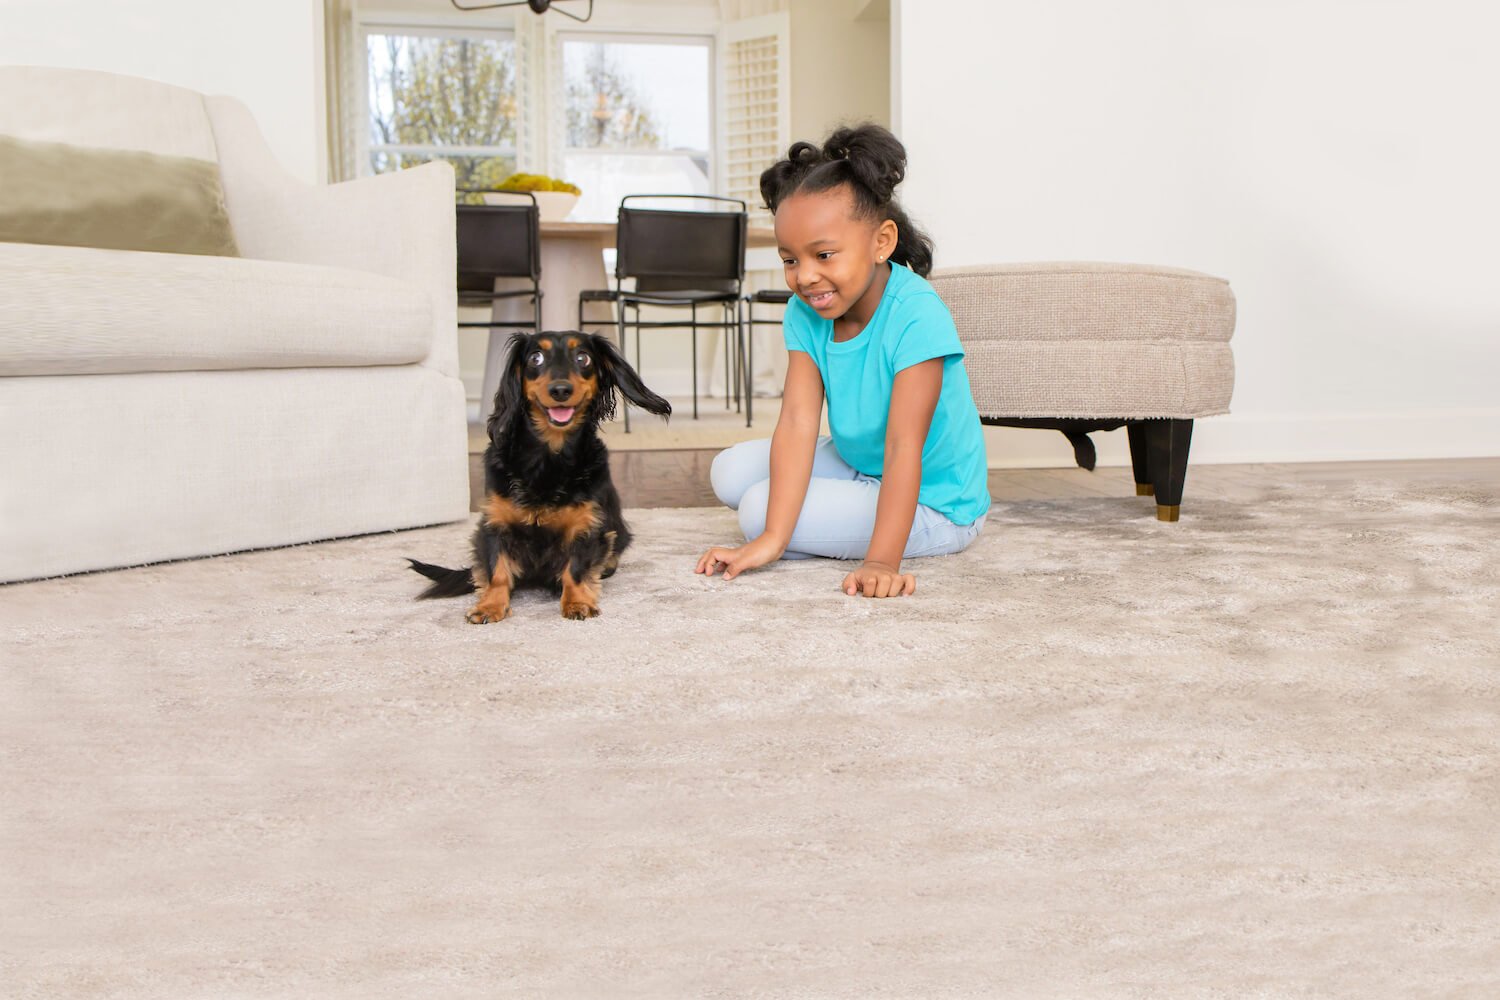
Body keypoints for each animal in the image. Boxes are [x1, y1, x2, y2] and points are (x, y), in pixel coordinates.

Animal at [409, 331, 671, 622]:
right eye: (536, 357)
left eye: (583, 358)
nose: (560, 390)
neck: (548, 459)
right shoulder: (494, 524)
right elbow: (497, 570)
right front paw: (490, 605)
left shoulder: (586, 526)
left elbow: (575, 569)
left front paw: (577, 602)